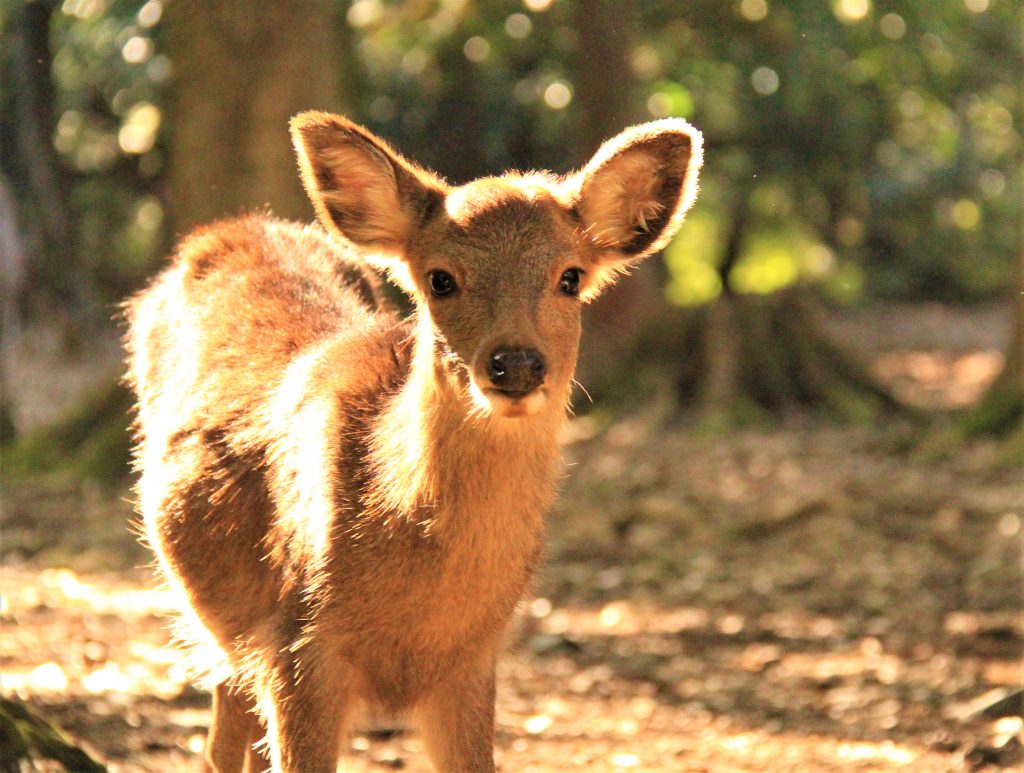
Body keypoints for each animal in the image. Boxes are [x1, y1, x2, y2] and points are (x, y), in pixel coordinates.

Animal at [123, 110, 700, 773]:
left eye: (570, 277)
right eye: (441, 279)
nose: (516, 364)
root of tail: (229, 226)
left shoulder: (474, 661)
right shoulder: (298, 645)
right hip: (228, 627)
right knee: (220, 737)